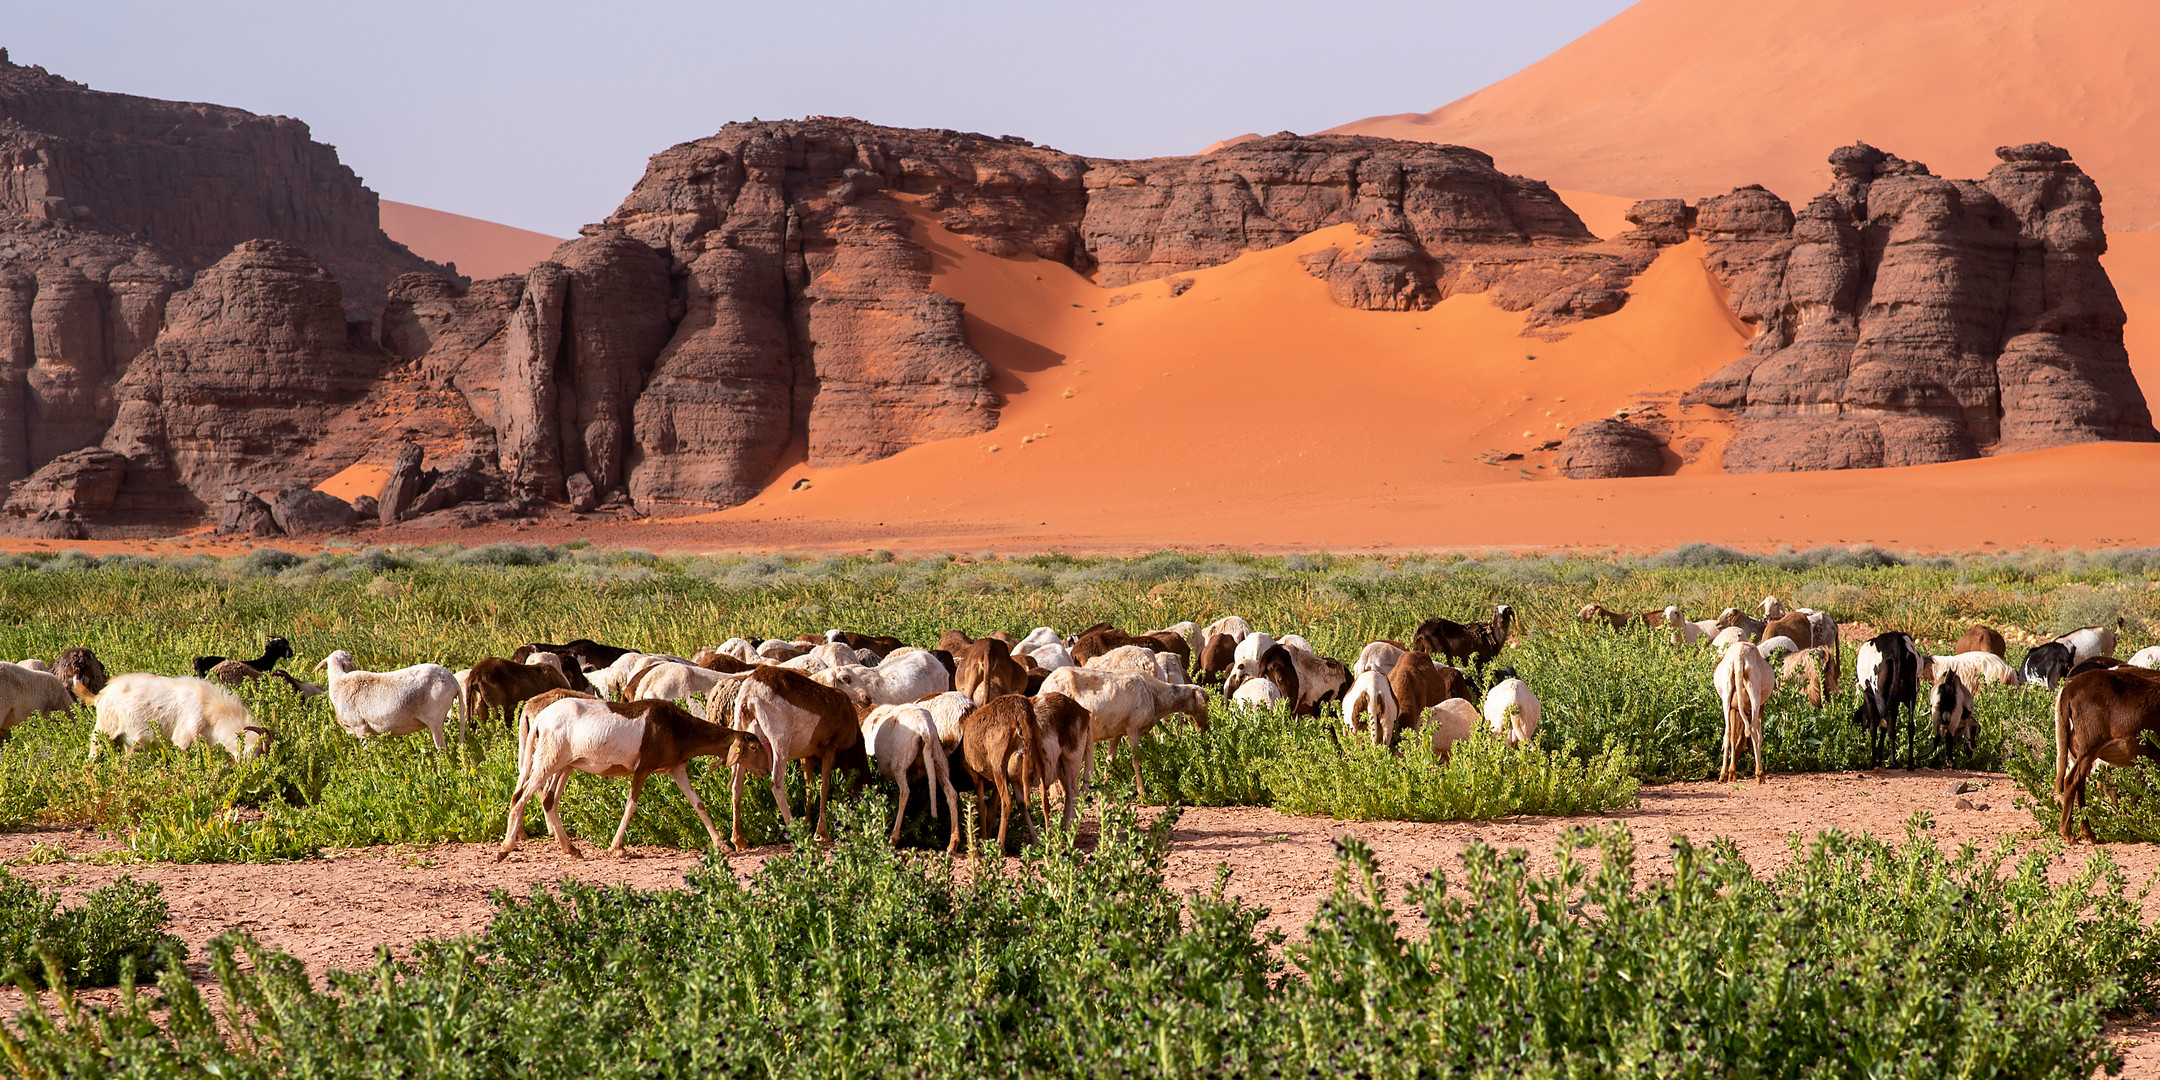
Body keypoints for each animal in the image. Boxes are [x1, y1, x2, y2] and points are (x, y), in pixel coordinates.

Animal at [496, 699, 768, 859]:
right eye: (754, 748)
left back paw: (570, 848)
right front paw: (618, 847)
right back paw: (506, 848)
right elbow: (631, 804)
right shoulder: (643, 767)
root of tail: (539, 719)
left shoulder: (676, 769)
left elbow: (698, 803)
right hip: (549, 758)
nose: (766, 770)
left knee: (549, 800)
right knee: (520, 796)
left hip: (565, 765)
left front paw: (722, 845)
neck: (677, 728)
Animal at [1719, 639, 1771, 786]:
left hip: (1726, 696)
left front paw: (1732, 773)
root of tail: (1739, 656)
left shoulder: (1734, 709)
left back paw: (1723, 775)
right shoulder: (1761, 707)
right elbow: (1759, 736)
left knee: (1727, 732)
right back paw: (1760, 775)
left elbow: (1733, 736)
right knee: (1753, 731)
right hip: (1755, 695)